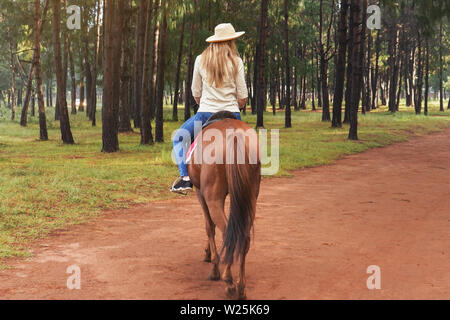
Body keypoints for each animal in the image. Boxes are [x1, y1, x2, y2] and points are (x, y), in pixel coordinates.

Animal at [188, 111, 262, 298]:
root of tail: (234, 135)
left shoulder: (201, 194)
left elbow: (209, 226)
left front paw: (213, 265)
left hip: (212, 197)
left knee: (227, 232)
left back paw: (228, 281)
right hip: (250, 197)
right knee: (242, 237)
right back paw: (241, 286)